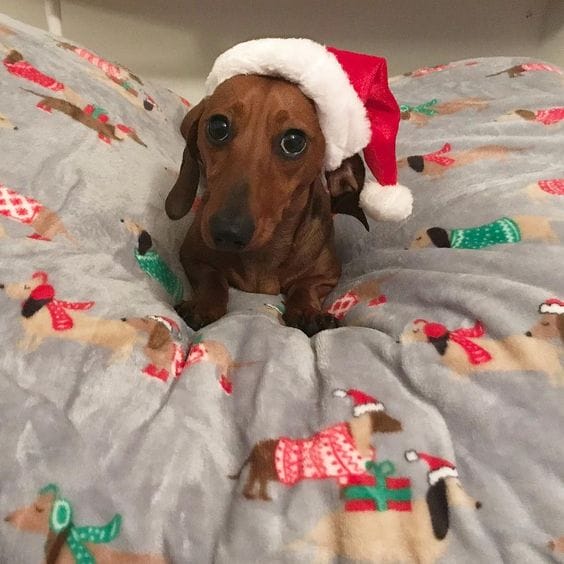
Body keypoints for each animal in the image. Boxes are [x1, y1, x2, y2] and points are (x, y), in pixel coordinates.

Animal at [165, 74, 370, 336]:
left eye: (293, 142)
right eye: (218, 127)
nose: (228, 232)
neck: (263, 254)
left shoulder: (327, 274)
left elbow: (304, 288)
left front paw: (307, 312)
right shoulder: (192, 256)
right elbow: (212, 279)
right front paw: (204, 305)